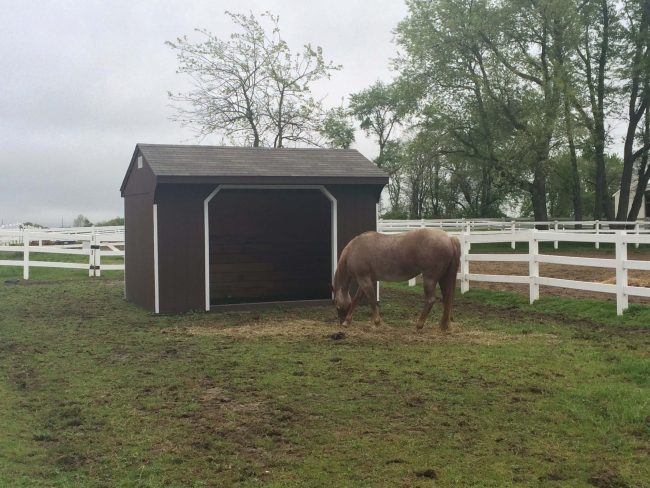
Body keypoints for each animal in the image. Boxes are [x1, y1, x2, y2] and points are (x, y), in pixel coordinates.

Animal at [332, 228, 461, 331]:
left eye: (336, 302)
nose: (340, 320)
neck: (353, 250)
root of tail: (449, 238)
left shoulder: (363, 279)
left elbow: (371, 300)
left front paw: (377, 322)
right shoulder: (367, 280)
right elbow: (357, 299)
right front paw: (347, 322)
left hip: (430, 279)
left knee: (430, 300)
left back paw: (419, 325)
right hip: (444, 278)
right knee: (447, 298)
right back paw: (444, 326)